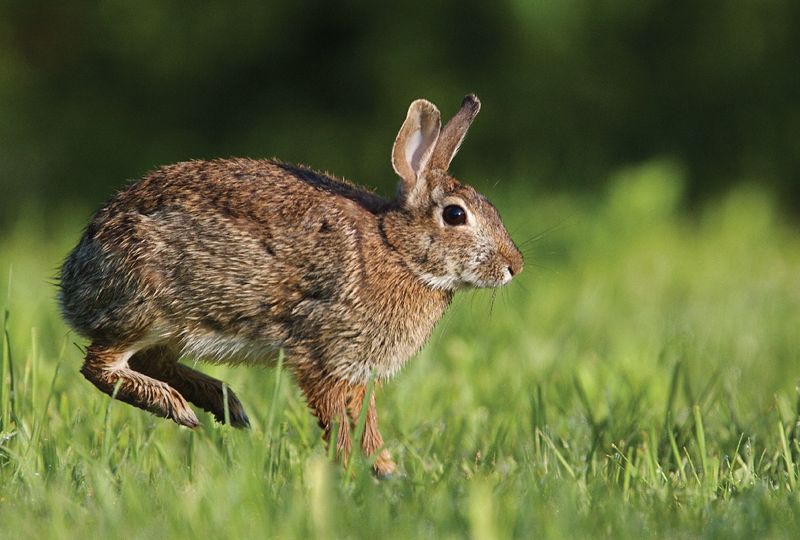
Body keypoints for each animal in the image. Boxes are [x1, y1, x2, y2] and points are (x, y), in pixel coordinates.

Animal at [61, 94, 524, 476]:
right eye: (455, 215)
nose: (514, 267)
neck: (397, 250)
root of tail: (74, 275)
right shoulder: (323, 356)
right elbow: (340, 423)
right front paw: (354, 474)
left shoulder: (358, 371)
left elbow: (367, 424)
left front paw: (386, 472)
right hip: (149, 305)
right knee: (100, 365)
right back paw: (178, 406)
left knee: (149, 361)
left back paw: (225, 406)